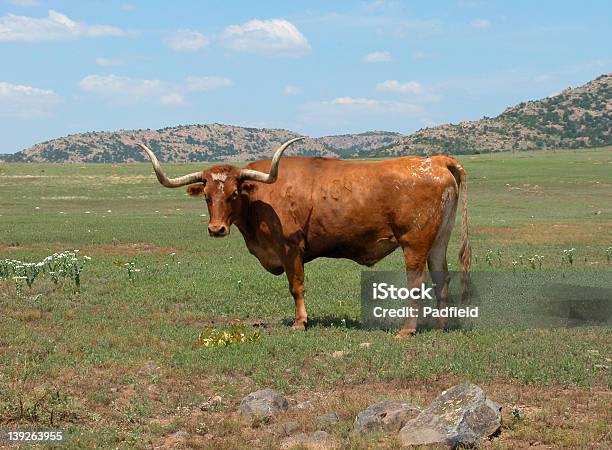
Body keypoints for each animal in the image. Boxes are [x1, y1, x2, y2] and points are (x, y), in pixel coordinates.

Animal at [139, 139, 470, 336]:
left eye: (233, 193)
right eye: (207, 196)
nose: (216, 229)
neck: (261, 197)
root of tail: (433, 161)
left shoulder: (290, 248)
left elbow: (296, 287)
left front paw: (300, 322)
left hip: (414, 243)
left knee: (417, 282)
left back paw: (407, 330)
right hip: (438, 241)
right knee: (441, 278)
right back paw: (439, 326)